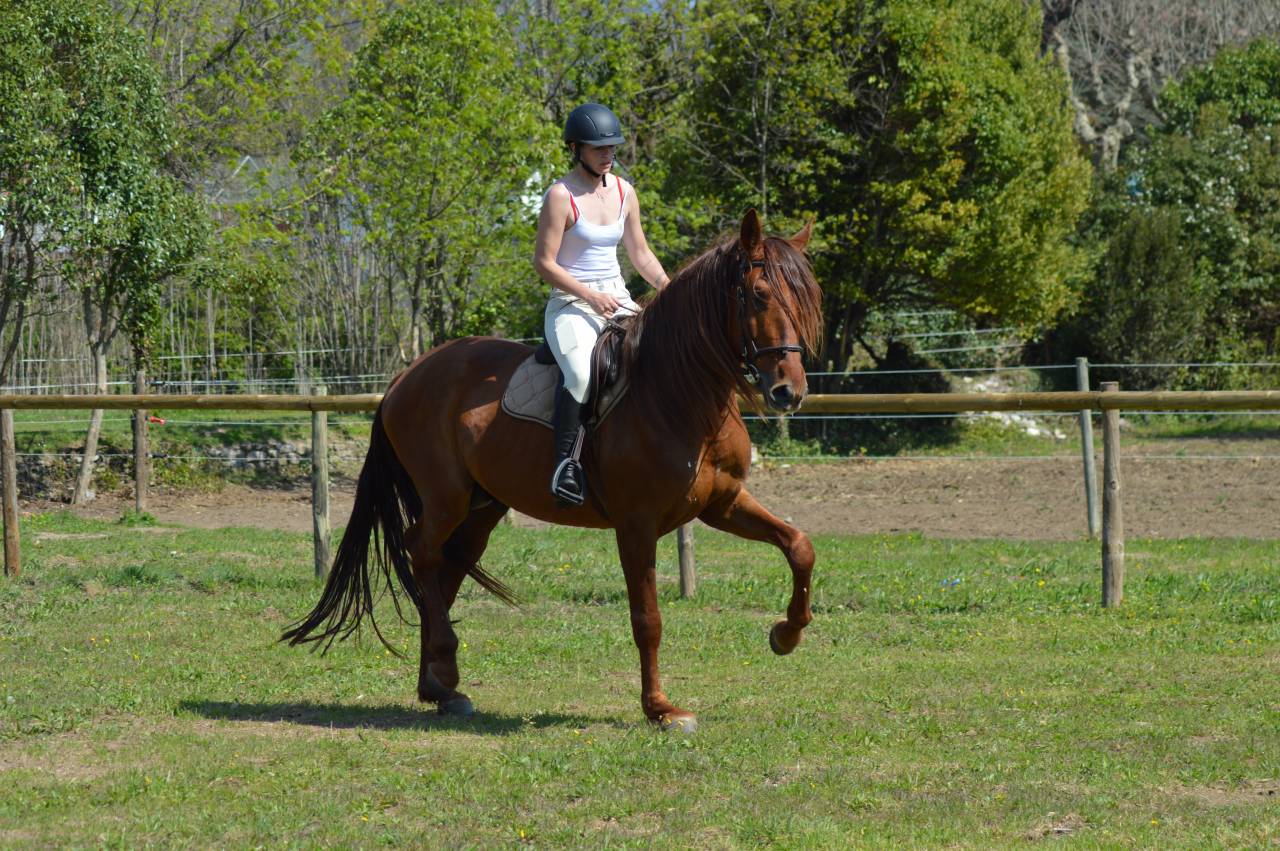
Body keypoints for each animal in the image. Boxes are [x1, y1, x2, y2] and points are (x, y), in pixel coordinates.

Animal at [282, 210, 824, 732]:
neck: (677, 392)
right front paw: (661, 710)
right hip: (446, 497)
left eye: (808, 299)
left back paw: (440, 687)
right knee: (423, 552)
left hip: (481, 508)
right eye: (759, 295)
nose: (788, 392)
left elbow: (799, 546)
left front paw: (786, 634)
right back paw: (444, 668)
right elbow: (647, 618)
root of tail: (408, 374)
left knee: (443, 567)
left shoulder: (722, 504)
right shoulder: (636, 525)